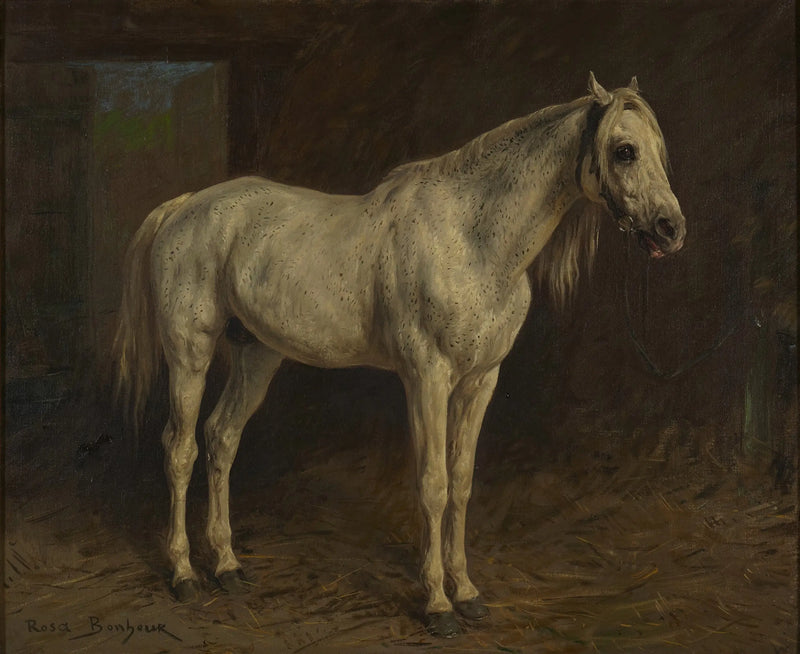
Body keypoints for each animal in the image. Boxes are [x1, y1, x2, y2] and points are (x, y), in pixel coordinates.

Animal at [114, 73, 685, 638]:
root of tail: (185, 206)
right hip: (190, 354)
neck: (472, 240)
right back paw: (185, 575)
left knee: (222, 438)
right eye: (625, 150)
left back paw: (228, 567)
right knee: (181, 449)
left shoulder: (481, 381)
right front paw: (438, 605)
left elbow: (462, 482)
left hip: (257, 355)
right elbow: (433, 485)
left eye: (659, 150)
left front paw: (468, 593)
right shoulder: (426, 378)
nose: (671, 228)